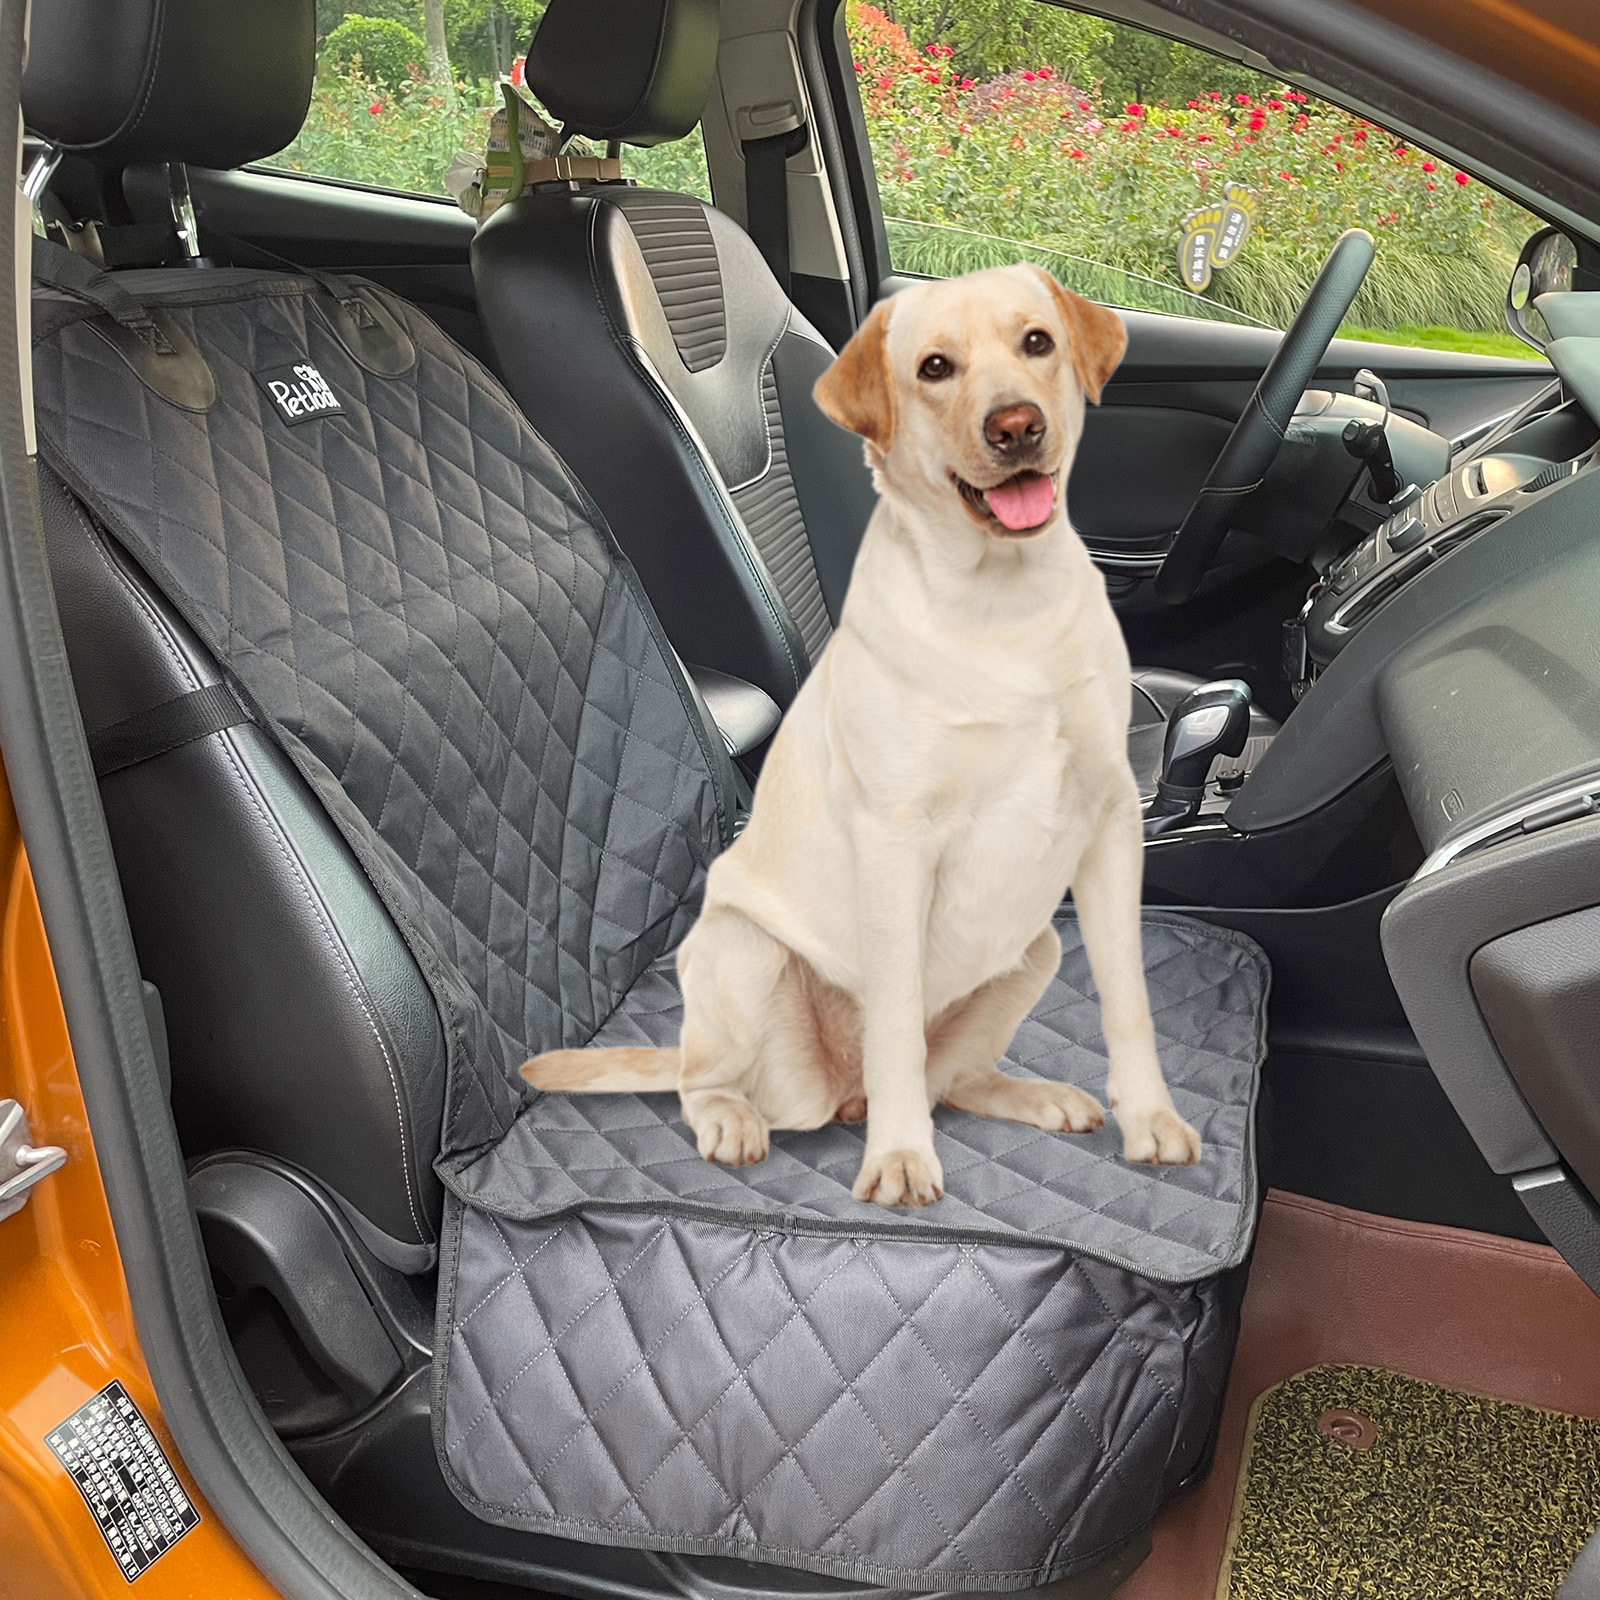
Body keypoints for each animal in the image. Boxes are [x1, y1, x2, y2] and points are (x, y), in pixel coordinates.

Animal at [523, 264, 1201, 1207]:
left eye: (1037, 342)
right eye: (934, 368)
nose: (1017, 426)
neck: (1004, 606)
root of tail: (834, 1094)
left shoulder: (1109, 822)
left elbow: (1128, 996)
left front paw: (1151, 1118)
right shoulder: (896, 839)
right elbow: (895, 1025)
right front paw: (901, 1157)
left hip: (1031, 950)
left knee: (954, 1077)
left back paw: (1032, 1096)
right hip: (745, 953)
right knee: (714, 1079)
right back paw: (739, 1119)